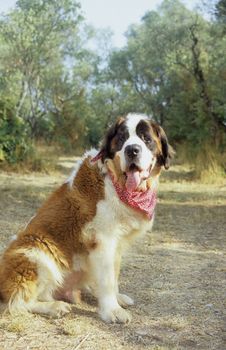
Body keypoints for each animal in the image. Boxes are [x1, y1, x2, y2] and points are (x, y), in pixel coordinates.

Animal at [0, 113, 172, 324]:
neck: (115, 181)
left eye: (146, 139)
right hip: (35, 251)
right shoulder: (103, 239)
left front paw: (117, 298)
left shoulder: (117, 243)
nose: (132, 150)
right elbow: (107, 279)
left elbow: (114, 274)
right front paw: (112, 310)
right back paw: (54, 307)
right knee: (17, 303)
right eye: (121, 139)